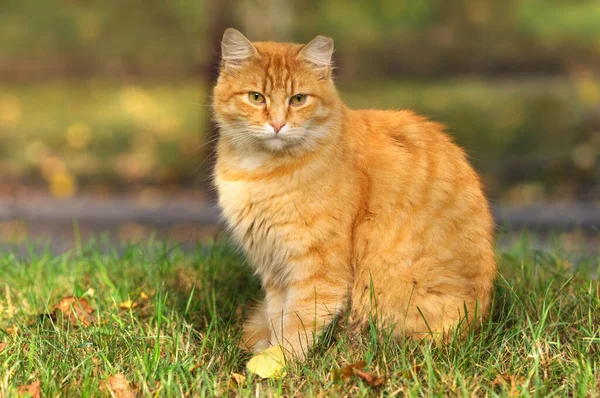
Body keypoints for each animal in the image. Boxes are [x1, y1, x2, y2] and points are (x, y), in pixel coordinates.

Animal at [213, 28, 494, 358]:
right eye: (256, 97)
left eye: (298, 99)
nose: (278, 124)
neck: (259, 170)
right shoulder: (273, 266)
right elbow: (276, 313)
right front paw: (270, 348)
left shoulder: (318, 268)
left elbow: (298, 322)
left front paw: (279, 359)